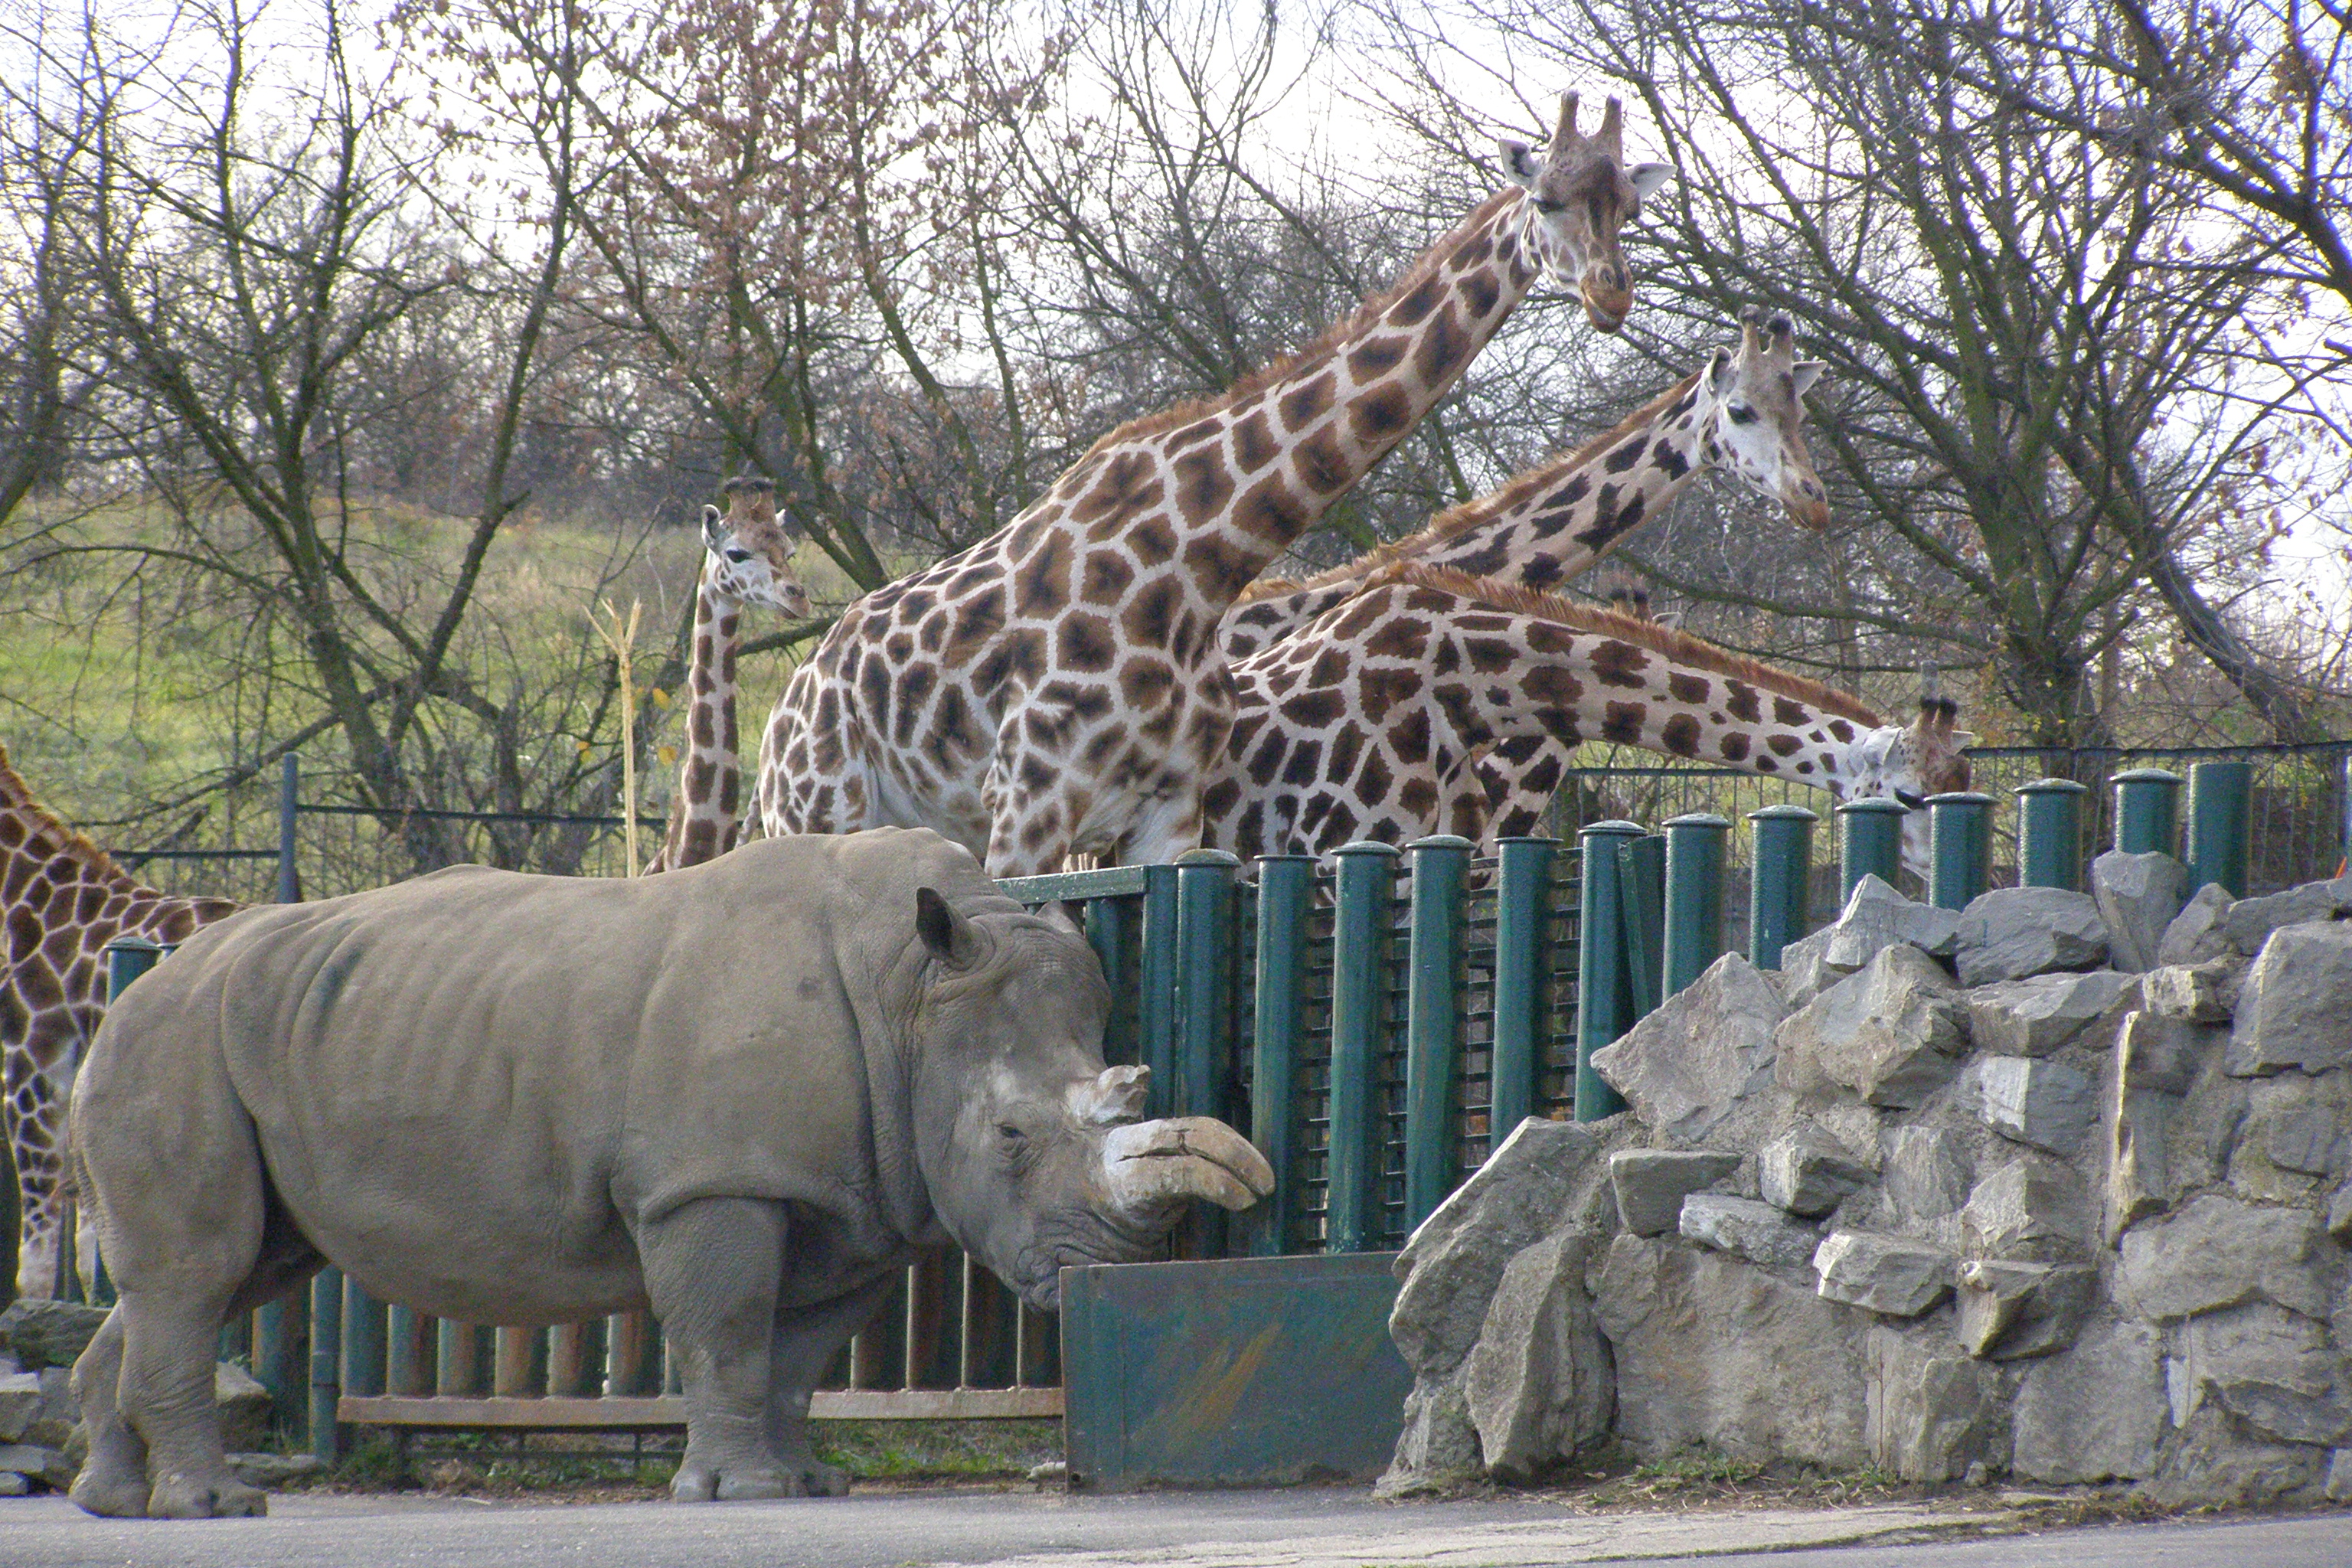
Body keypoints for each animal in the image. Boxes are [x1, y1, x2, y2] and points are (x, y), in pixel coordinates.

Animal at [753, 96, 1674, 879]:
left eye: (1628, 209)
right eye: (1547, 200)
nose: (1611, 292)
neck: (1203, 558)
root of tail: (784, 713)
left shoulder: (1167, 811)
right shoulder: (1031, 796)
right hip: (821, 809)